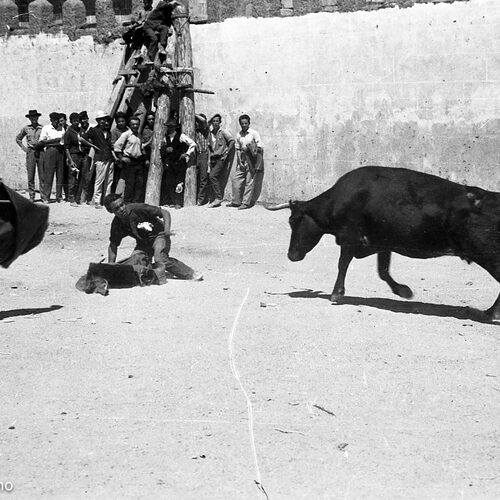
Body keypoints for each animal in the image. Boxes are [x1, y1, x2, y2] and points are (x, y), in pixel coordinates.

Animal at [266, 168, 500, 322]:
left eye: (293, 220)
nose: (291, 255)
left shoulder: (349, 238)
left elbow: (342, 264)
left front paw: (337, 293)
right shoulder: (382, 243)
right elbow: (383, 271)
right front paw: (403, 291)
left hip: (488, 255)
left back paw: (490, 314)